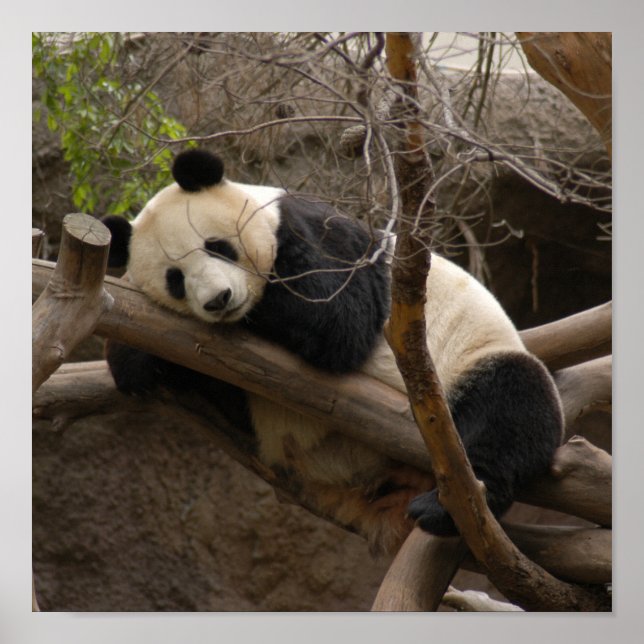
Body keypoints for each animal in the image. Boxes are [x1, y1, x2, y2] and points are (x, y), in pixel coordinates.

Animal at [102, 148, 563, 555]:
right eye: (175, 278)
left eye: (216, 246)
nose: (219, 299)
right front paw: (134, 359)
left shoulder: (318, 232)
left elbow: (338, 318)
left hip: (475, 356)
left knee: (511, 405)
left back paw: (445, 507)